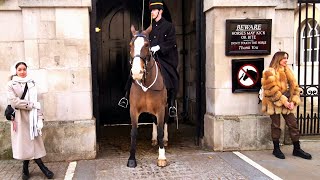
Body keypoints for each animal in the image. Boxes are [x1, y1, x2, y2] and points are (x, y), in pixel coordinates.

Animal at [127, 25, 169, 169]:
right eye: (131, 44)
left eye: (146, 45)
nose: (136, 73)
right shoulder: (133, 110)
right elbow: (134, 132)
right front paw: (132, 159)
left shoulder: (160, 109)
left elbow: (161, 129)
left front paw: (162, 157)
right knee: (154, 121)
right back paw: (154, 138)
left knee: (165, 121)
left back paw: (165, 140)